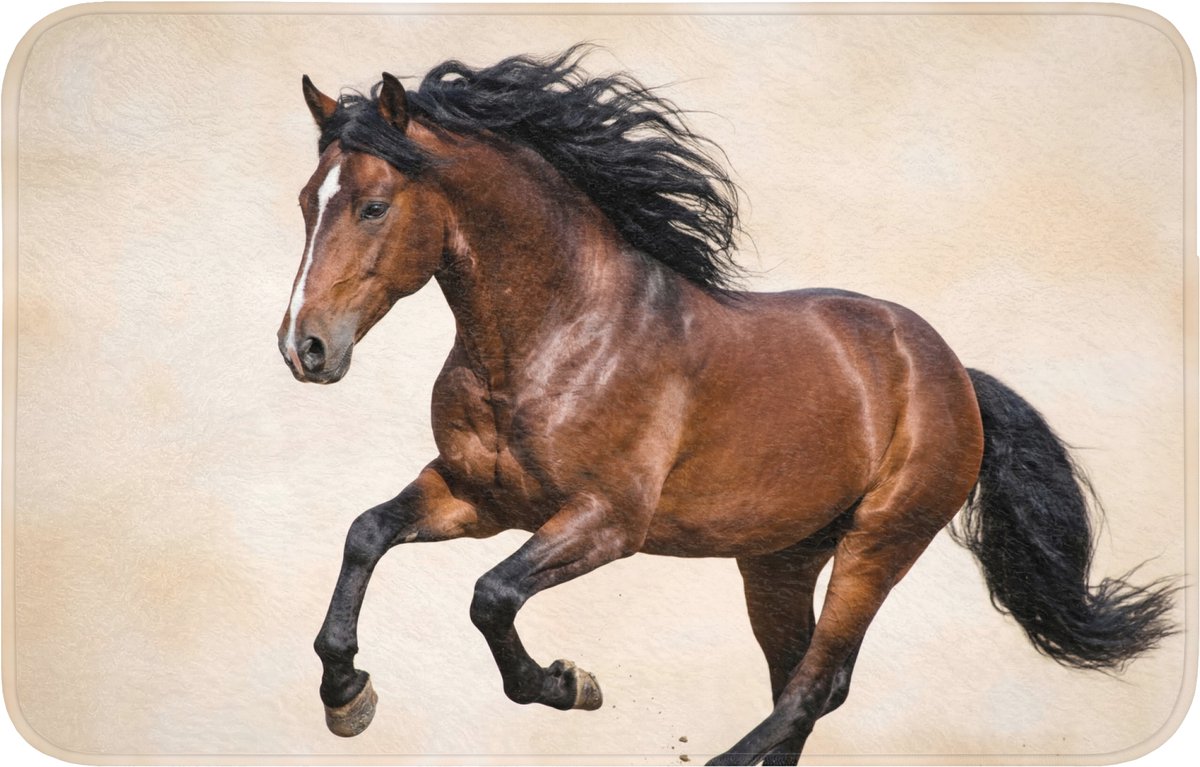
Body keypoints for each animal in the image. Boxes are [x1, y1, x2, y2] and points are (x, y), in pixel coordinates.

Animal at [278, 48, 1175, 764]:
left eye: (374, 205)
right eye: (305, 200)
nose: (303, 347)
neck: (556, 333)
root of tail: (953, 370)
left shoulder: (606, 520)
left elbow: (491, 594)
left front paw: (568, 683)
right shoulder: (478, 495)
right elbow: (366, 533)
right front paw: (347, 694)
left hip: (881, 541)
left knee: (815, 682)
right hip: (779, 559)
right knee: (806, 680)